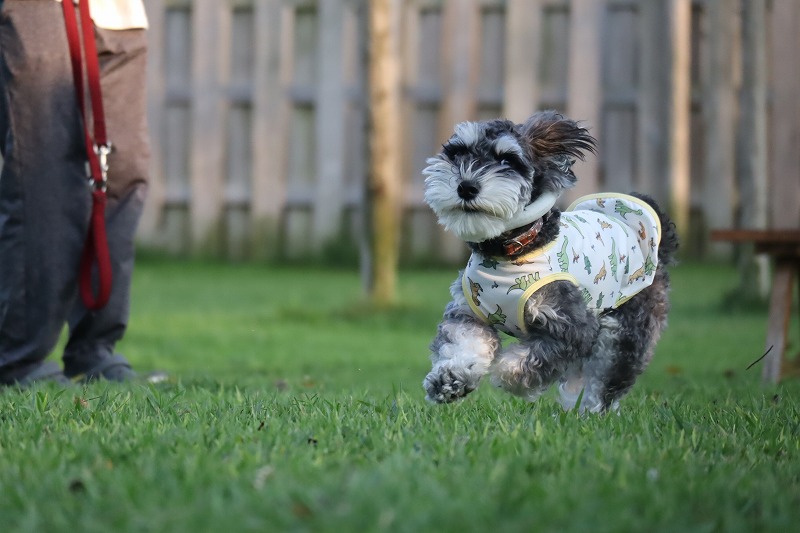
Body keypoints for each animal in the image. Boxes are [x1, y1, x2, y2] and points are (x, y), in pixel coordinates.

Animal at [421, 111, 678, 413]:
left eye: (508, 160)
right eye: (457, 152)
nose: (466, 186)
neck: (511, 252)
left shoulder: (572, 327)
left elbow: (528, 361)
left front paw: (505, 373)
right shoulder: (468, 314)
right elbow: (464, 343)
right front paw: (450, 380)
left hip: (626, 330)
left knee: (606, 381)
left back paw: (590, 412)